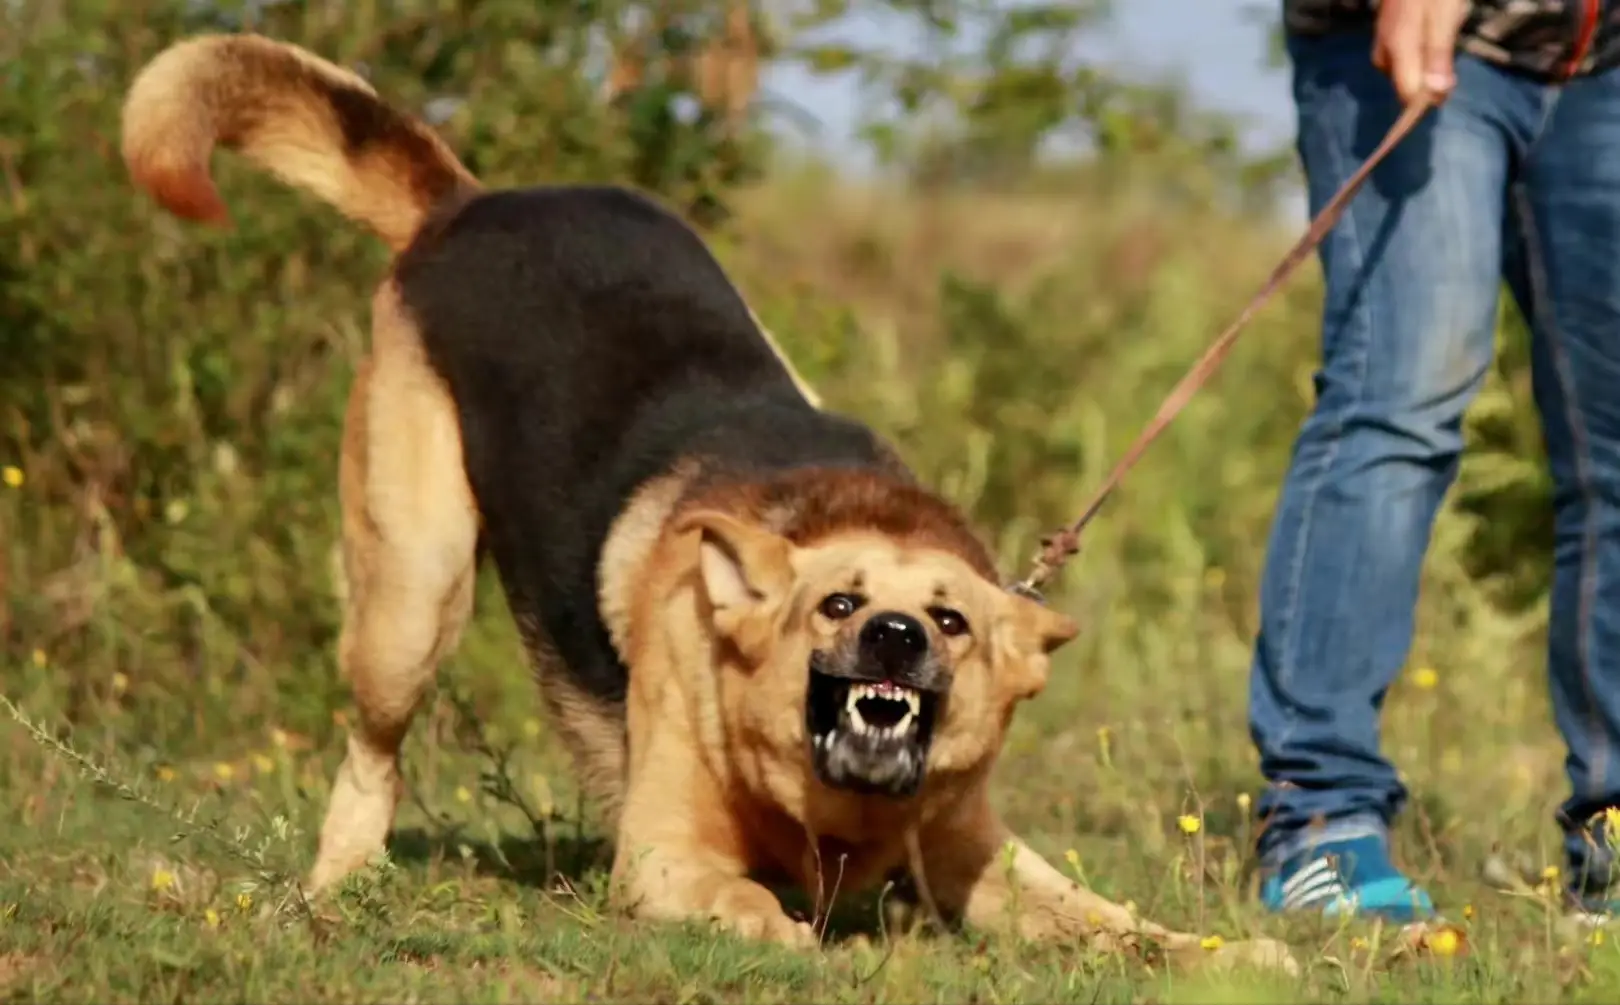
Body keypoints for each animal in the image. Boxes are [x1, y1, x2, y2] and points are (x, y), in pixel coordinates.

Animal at [119, 33, 1296, 972]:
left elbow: (1112, 918)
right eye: (838, 604)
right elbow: (745, 900)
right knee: (371, 758)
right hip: (413, 596)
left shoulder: (975, 853)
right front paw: (791, 934)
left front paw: (1226, 952)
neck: (833, 816)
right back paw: (339, 886)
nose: (897, 638)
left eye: (953, 620)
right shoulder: (664, 856)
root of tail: (467, 205)